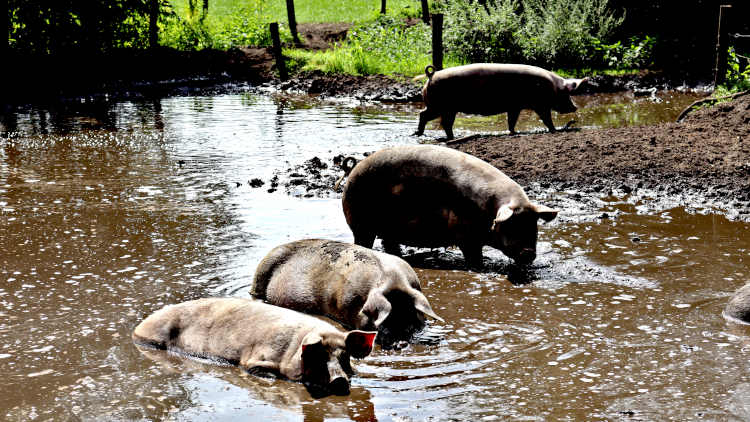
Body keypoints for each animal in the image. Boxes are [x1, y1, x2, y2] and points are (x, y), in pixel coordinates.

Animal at [340, 143, 560, 266]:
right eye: (511, 225)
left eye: (533, 226)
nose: (528, 252)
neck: (489, 211)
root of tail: (352, 171)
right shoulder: (464, 234)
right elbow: (473, 257)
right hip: (361, 224)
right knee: (364, 242)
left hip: (388, 229)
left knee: (390, 244)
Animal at [414, 62, 592, 138]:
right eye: (566, 94)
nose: (575, 108)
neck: (553, 88)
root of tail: (431, 75)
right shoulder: (540, 105)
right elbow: (546, 119)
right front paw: (554, 130)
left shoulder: (515, 107)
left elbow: (511, 121)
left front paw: (514, 132)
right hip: (444, 107)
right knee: (441, 122)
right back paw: (451, 138)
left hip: (439, 107)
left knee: (424, 115)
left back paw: (418, 133)